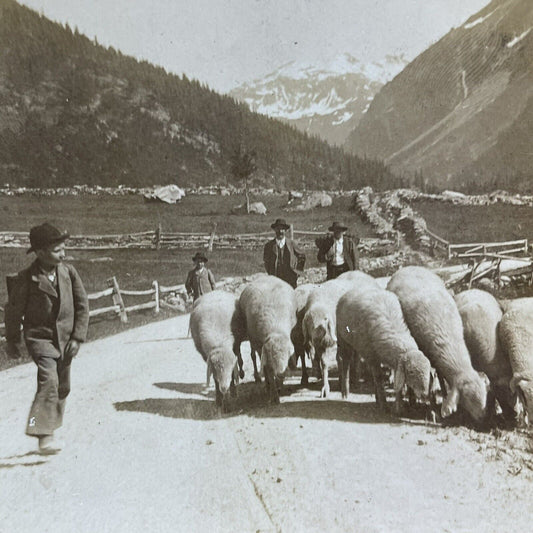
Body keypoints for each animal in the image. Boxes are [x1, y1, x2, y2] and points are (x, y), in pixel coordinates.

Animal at [336, 284, 432, 414]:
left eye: (428, 371)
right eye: (411, 372)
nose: (425, 395)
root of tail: (351, 291)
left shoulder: (393, 361)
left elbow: (396, 381)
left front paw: (398, 407)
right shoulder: (372, 357)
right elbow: (379, 378)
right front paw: (384, 405)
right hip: (343, 339)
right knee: (346, 362)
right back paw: (345, 393)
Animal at [386, 266, 486, 424]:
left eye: (485, 395)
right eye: (467, 398)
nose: (483, 418)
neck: (449, 339)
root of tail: (408, 267)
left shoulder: (438, 361)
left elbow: (440, 378)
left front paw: (443, 397)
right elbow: (428, 383)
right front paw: (432, 411)